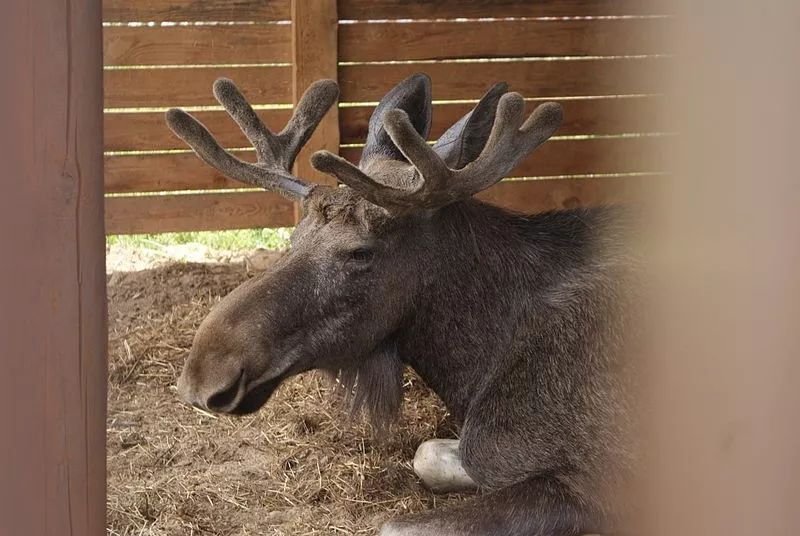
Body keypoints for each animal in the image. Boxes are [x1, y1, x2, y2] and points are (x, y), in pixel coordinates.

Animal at [169, 72, 636, 536]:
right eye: (294, 236)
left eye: (360, 252)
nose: (203, 374)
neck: (476, 365)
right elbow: (428, 454)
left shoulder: (597, 487)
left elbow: (397, 525)